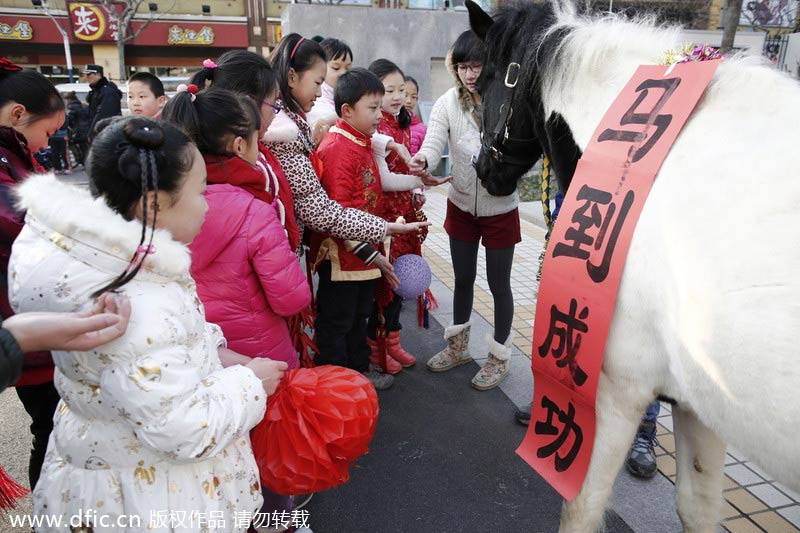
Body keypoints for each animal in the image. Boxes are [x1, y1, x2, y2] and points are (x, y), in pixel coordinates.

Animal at [462, 0, 800, 528]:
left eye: (485, 83)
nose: (482, 171)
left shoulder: (614, 389)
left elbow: (580, 506)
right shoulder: (700, 404)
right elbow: (697, 508)